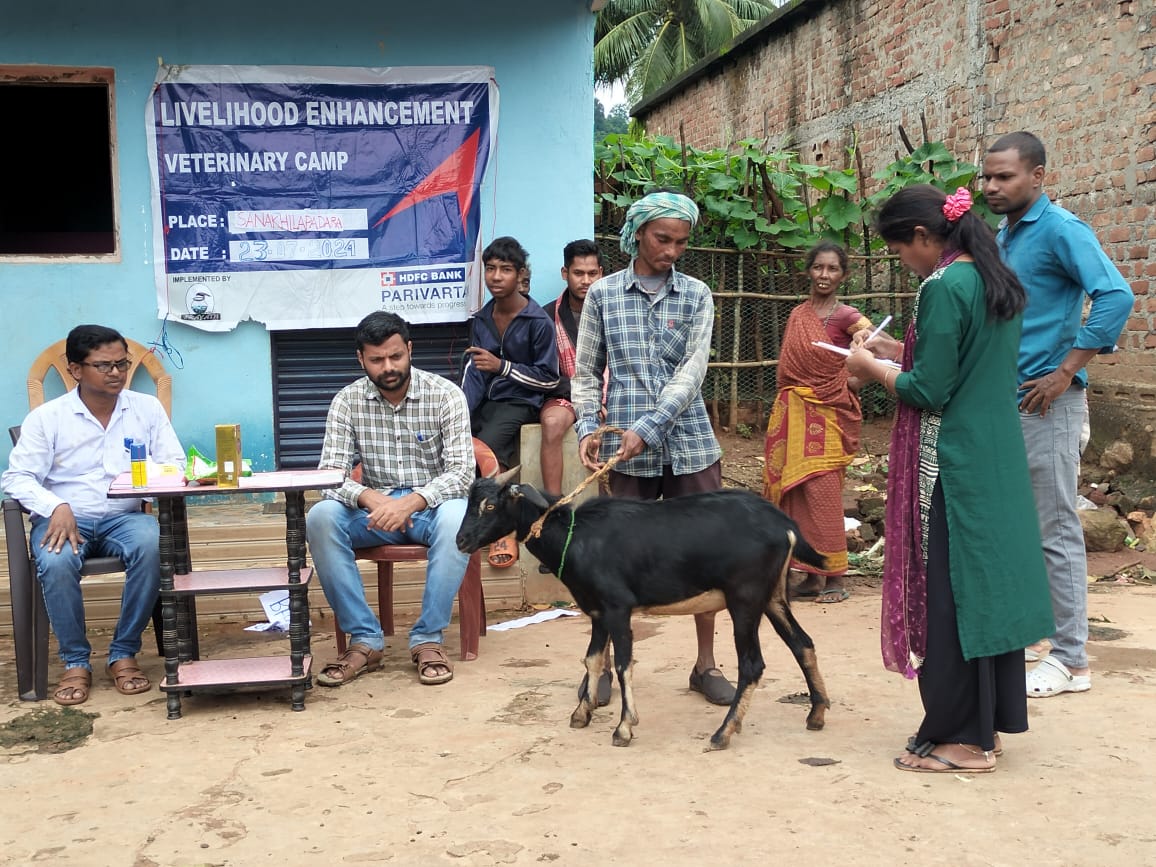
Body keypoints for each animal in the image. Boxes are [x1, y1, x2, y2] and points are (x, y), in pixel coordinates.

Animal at [453, 471, 832, 749]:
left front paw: (624, 728)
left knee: (753, 664)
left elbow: (623, 664)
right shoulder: (597, 610)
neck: (576, 537)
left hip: (745, 599)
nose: (461, 541)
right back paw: (816, 714)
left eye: (490, 505)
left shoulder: (618, 607)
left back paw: (723, 732)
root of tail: (786, 526)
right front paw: (582, 713)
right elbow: (593, 659)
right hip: (773, 597)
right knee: (804, 644)